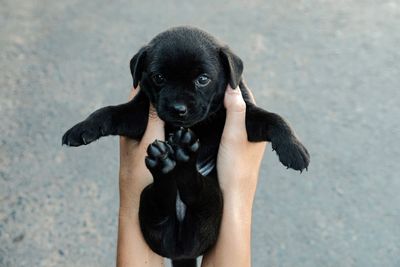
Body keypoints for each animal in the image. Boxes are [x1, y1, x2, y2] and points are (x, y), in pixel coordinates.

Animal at [61, 26, 310, 266]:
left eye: (203, 79)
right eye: (159, 77)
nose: (178, 108)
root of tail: (181, 250)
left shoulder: (244, 118)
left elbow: (273, 118)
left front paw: (294, 149)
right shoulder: (140, 113)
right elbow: (110, 112)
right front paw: (83, 128)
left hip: (213, 200)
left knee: (193, 191)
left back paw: (181, 155)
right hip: (148, 202)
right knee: (164, 198)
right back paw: (166, 163)